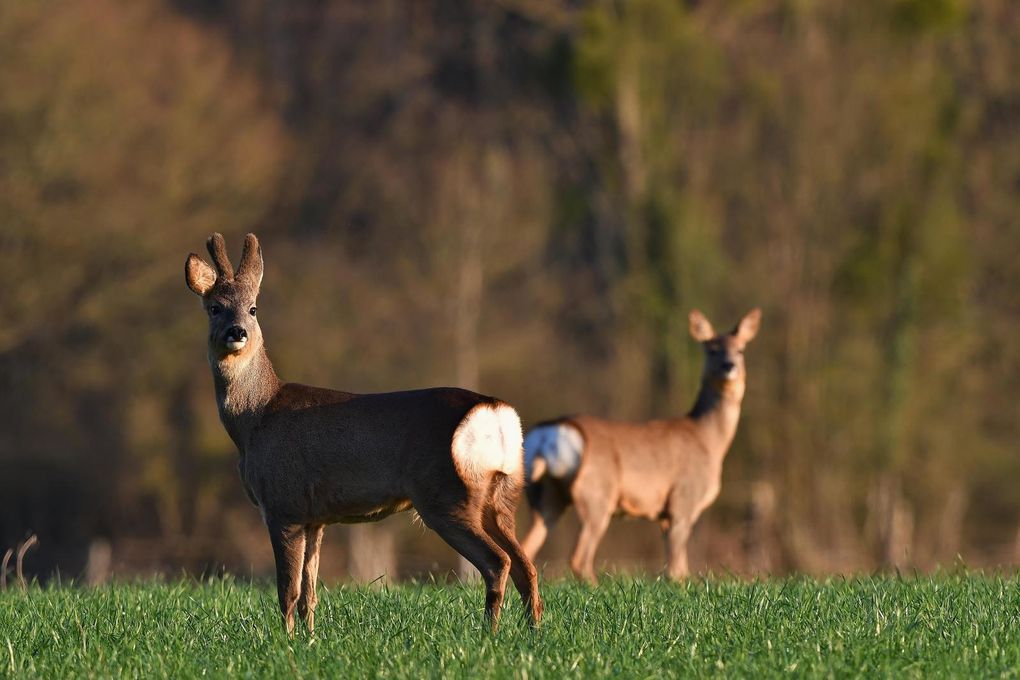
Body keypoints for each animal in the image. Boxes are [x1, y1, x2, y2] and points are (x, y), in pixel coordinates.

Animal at [183, 234, 542, 632]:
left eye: (253, 308)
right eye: (215, 308)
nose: (238, 332)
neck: (253, 420)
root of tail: (493, 411)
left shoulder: (282, 503)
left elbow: (288, 591)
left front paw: (285, 639)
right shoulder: (315, 516)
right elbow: (309, 593)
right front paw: (309, 637)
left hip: (446, 494)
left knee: (498, 563)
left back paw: (489, 634)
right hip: (503, 493)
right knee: (526, 565)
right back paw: (532, 632)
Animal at [522, 307, 762, 579]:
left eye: (740, 350)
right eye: (711, 349)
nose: (728, 366)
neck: (709, 440)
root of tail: (547, 436)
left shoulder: (665, 514)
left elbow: (677, 568)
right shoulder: (683, 499)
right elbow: (677, 570)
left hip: (545, 495)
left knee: (526, 547)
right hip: (596, 493)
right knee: (579, 558)